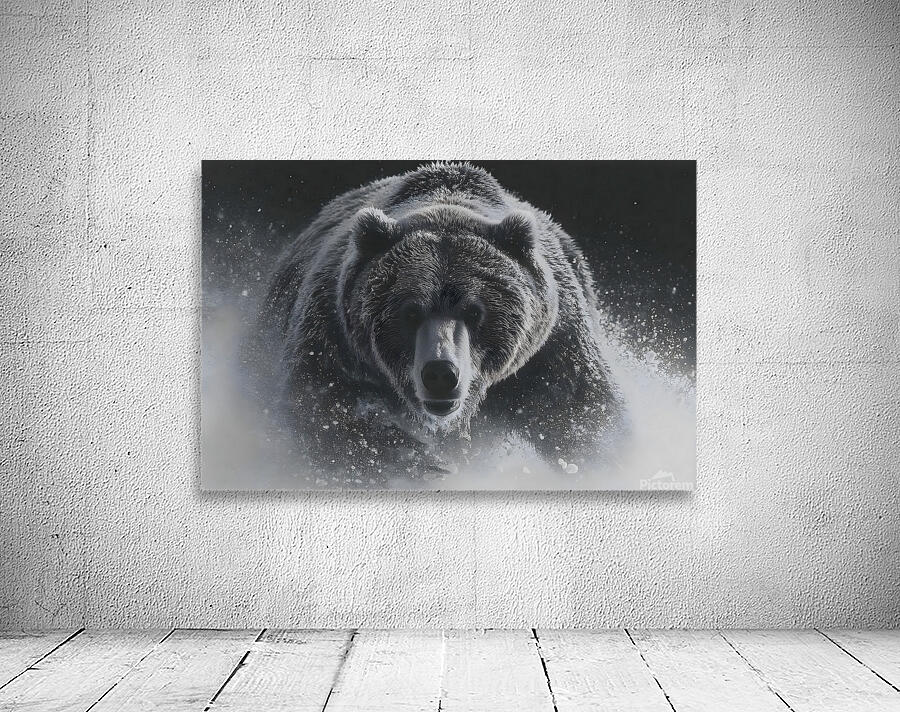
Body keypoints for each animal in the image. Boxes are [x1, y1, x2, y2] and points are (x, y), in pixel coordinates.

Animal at [256, 162, 626, 480]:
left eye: (474, 312)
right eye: (411, 312)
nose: (440, 373)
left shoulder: (550, 347)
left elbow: (583, 415)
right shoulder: (334, 332)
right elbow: (318, 404)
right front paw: (417, 461)